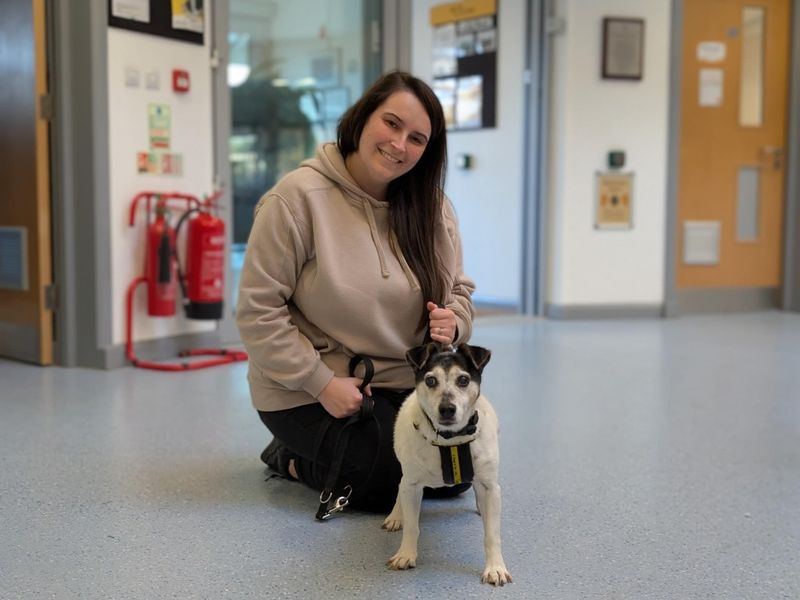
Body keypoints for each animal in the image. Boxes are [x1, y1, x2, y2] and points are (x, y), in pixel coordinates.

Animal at [382, 342, 512, 584]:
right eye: (431, 380)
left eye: (463, 380)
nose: (447, 409)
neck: (450, 440)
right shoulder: (412, 485)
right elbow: (412, 526)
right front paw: (406, 554)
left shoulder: (490, 486)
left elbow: (492, 534)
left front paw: (495, 567)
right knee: (400, 487)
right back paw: (396, 515)